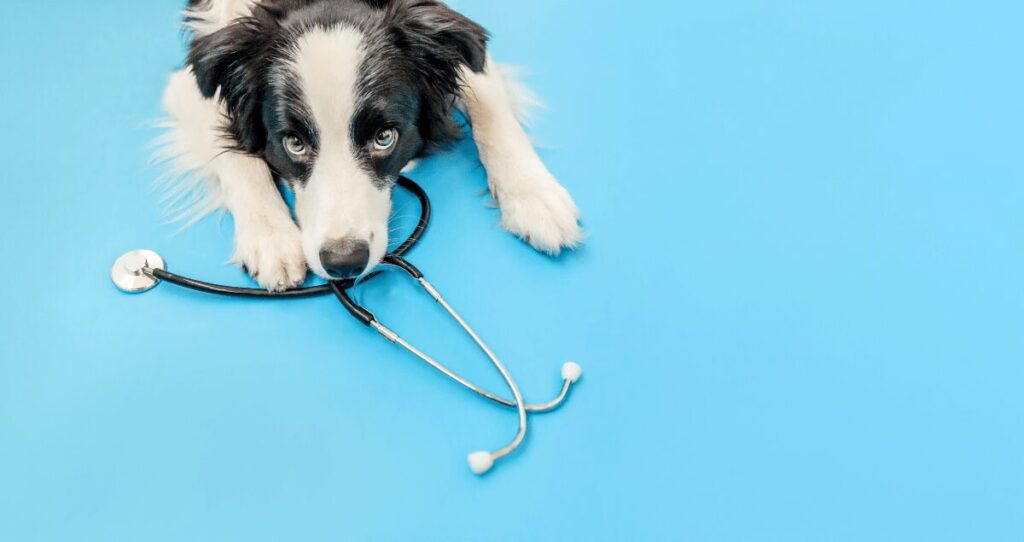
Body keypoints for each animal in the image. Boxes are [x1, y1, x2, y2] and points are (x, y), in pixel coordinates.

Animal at [155, 0, 581, 288]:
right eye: (294, 143)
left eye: (384, 138)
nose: (344, 262)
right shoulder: (190, 80)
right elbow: (235, 156)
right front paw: (271, 238)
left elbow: (489, 103)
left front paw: (534, 197)